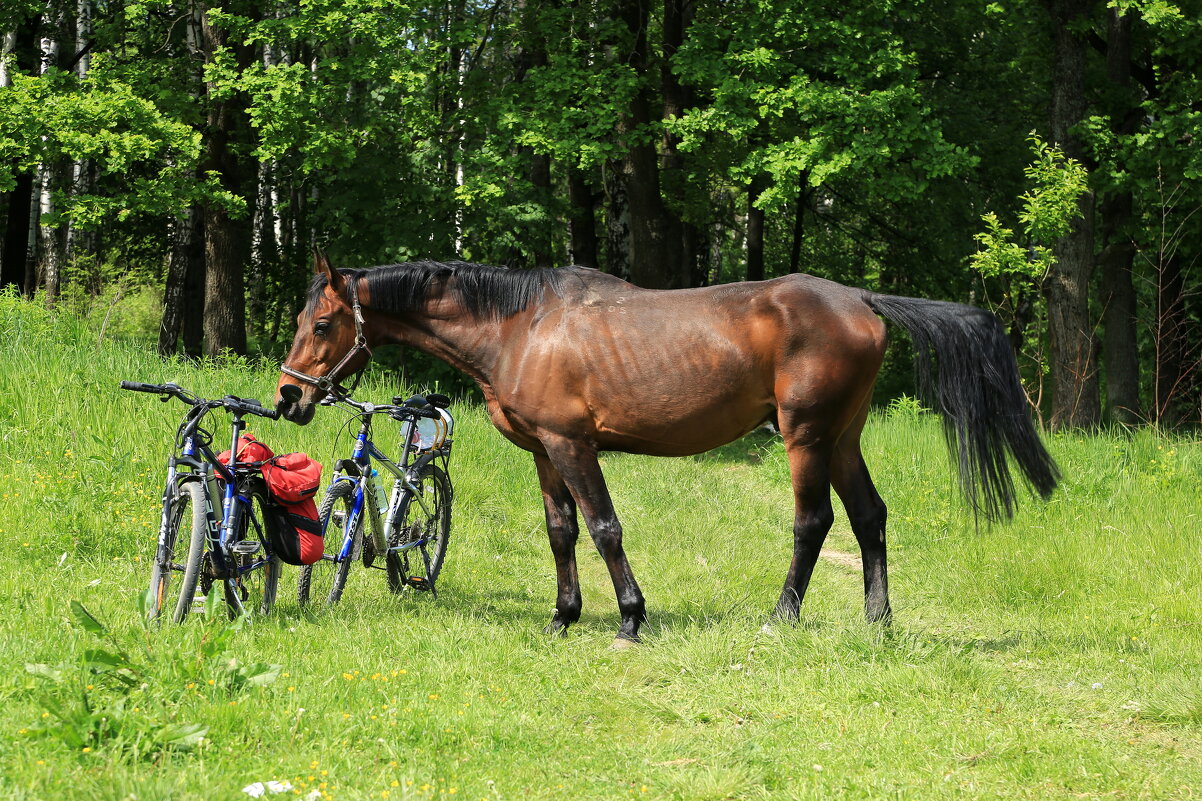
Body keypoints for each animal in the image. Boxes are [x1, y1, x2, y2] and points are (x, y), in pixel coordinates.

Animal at [276, 256, 1057, 644]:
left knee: (814, 523)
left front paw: (628, 616)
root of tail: (861, 301)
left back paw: (783, 618)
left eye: (323, 324)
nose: (288, 397)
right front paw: (563, 616)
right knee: (870, 517)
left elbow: (604, 527)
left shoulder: (573, 444)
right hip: (842, 438)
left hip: (806, 437)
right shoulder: (543, 452)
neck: (521, 324)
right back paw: (878, 622)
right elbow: (561, 532)